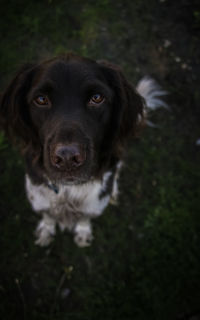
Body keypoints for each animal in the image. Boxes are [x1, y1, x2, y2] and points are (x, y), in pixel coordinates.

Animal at [0, 52, 166, 248]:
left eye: (97, 97)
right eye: (41, 99)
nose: (67, 158)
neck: (67, 191)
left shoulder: (94, 204)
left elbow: (85, 217)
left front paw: (83, 232)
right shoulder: (39, 198)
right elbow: (48, 214)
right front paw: (46, 230)